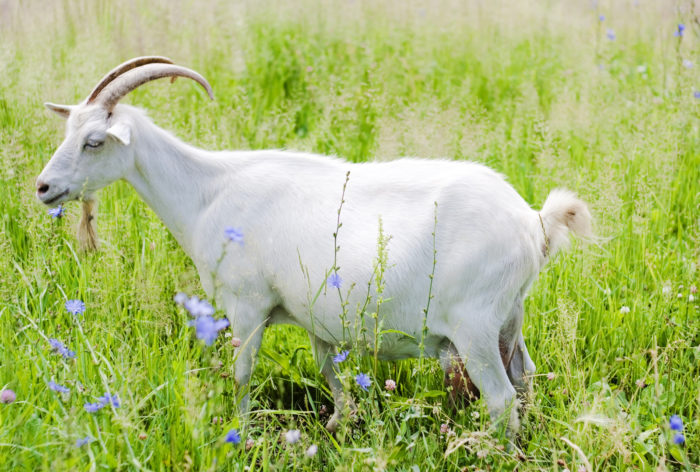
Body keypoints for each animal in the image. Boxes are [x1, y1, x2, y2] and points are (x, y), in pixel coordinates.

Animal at [36, 57, 591, 437]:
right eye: (68, 130)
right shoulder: (318, 317)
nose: (43, 188)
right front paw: (338, 431)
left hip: (473, 327)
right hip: (509, 318)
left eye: (94, 142)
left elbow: (241, 374)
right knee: (525, 379)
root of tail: (534, 222)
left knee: (500, 398)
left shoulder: (247, 304)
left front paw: (240, 437)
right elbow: (333, 378)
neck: (208, 191)